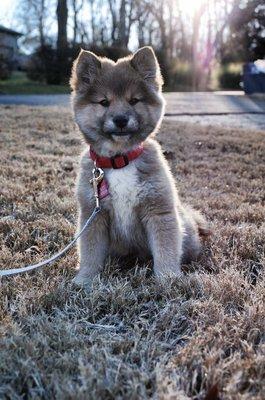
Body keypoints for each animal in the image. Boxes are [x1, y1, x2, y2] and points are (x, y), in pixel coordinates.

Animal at [69, 46, 208, 284]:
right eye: (104, 102)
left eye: (134, 100)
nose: (121, 120)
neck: (119, 161)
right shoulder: (93, 215)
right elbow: (90, 252)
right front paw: (85, 279)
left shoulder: (159, 212)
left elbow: (165, 250)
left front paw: (168, 279)